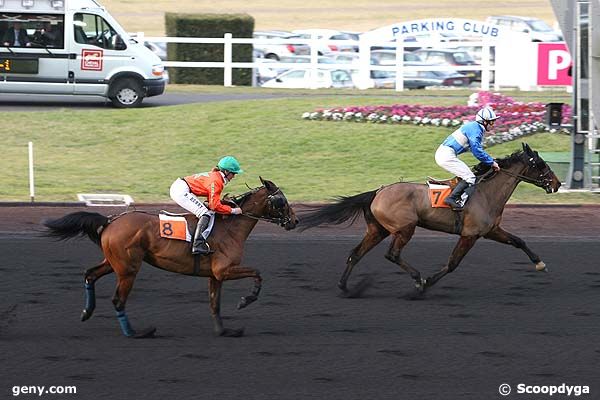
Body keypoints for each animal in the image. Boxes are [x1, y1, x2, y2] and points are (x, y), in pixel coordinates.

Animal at [42, 178, 298, 338]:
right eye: (282, 201)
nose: (294, 221)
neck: (230, 227)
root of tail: (111, 221)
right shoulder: (224, 270)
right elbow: (258, 274)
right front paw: (245, 300)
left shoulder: (215, 275)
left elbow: (214, 303)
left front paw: (225, 331)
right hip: (128, 269)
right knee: (118, 300)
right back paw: (137, 333)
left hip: (115, 263)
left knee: (90, 274)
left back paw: (87, 312)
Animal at [300, 144, 564, 296]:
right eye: (541, 164)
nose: (557, 183)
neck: (486, 192)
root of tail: (378, 192)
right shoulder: (470, 234)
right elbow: (452, 263)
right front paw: (426, 282)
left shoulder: (490, 230)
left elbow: (519, 241)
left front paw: (540, 263)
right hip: (404, 228)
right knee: (392, 255)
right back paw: (417, 279)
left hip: (378, 230)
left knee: (355, 254)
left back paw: (345, 287)